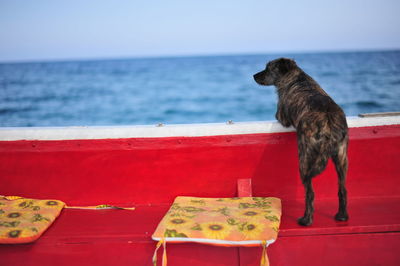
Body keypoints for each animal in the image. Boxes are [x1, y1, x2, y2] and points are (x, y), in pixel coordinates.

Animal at [255, 58, 348, 227]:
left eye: (268, 68)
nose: (254, 76)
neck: (296, 78)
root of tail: (328, 122)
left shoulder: (281, 115)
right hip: (342, 157)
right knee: (342, 189)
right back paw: (342, 216)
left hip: (305, 159)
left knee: (310, 193)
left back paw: (306, 220)